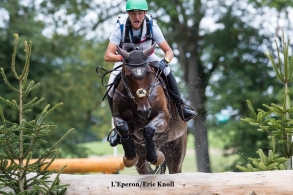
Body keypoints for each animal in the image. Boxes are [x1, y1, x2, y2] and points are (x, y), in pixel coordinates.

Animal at [110, 43, 186, 174]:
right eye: (128, 76)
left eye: (148, 73)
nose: (145, 110)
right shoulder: (119, 117)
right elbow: (122, 126)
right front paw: (130, 157)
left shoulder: (163, 116)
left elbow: (149, 129)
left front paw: (155, 156)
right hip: (141, 158)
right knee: (144, 168)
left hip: (177, 148)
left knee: (175, 168)